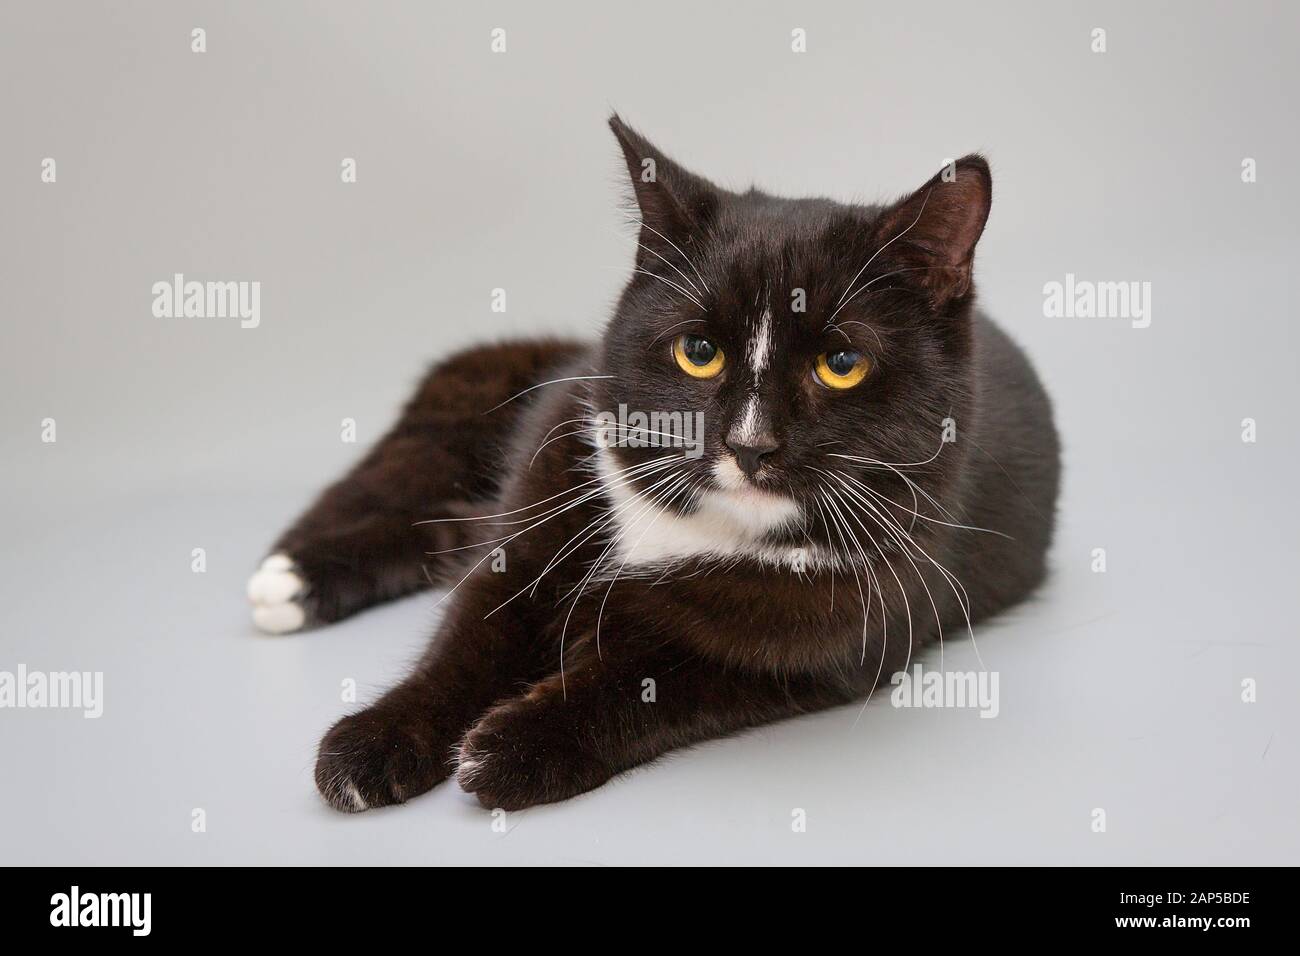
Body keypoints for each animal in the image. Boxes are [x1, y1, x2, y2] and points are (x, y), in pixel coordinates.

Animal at [248, 115, 1060, 811]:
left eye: (842, 365)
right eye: (698, 352)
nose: (750, 444)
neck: (690, 525)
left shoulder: (835, 638)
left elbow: (649, 685)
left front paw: (514, 748)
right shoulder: (551, 486)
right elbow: (472, 633)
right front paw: (373, 744)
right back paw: (293, 577)